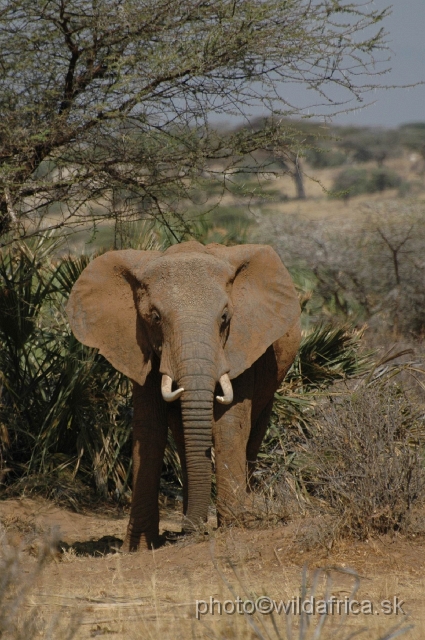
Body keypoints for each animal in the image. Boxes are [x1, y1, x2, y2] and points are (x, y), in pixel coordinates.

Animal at [66, 240, 300, 552]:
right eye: (155, 317)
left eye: (225, 317)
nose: (195, 529)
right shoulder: (141, 349)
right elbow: (149, 430)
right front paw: (138, 547)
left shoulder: (240, 343)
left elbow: (229, 424)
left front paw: (235, 529)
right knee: (182, 436)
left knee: (253, 431)